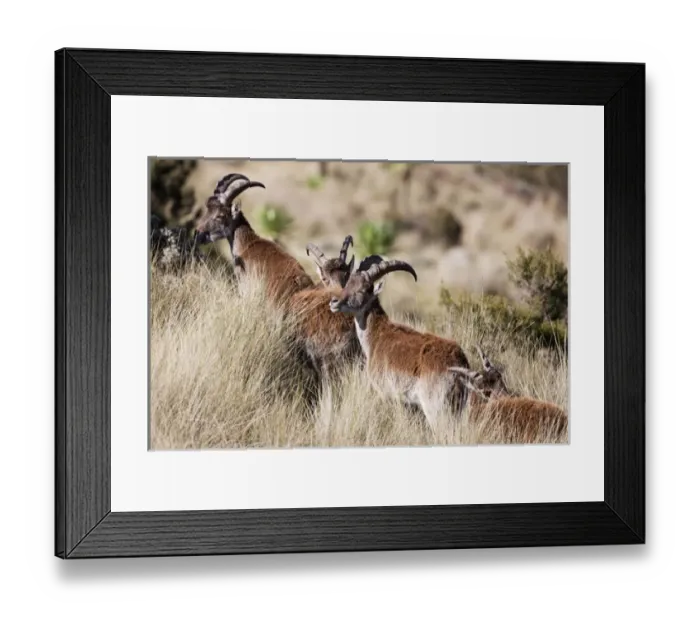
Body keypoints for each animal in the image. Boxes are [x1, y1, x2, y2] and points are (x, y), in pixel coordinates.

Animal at [328, 257, 472, 431]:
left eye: (362, 290)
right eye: (348, 284)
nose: (334, 302)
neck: (377, 335)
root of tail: (458, 365)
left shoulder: (387, 394)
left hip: (436, 410)